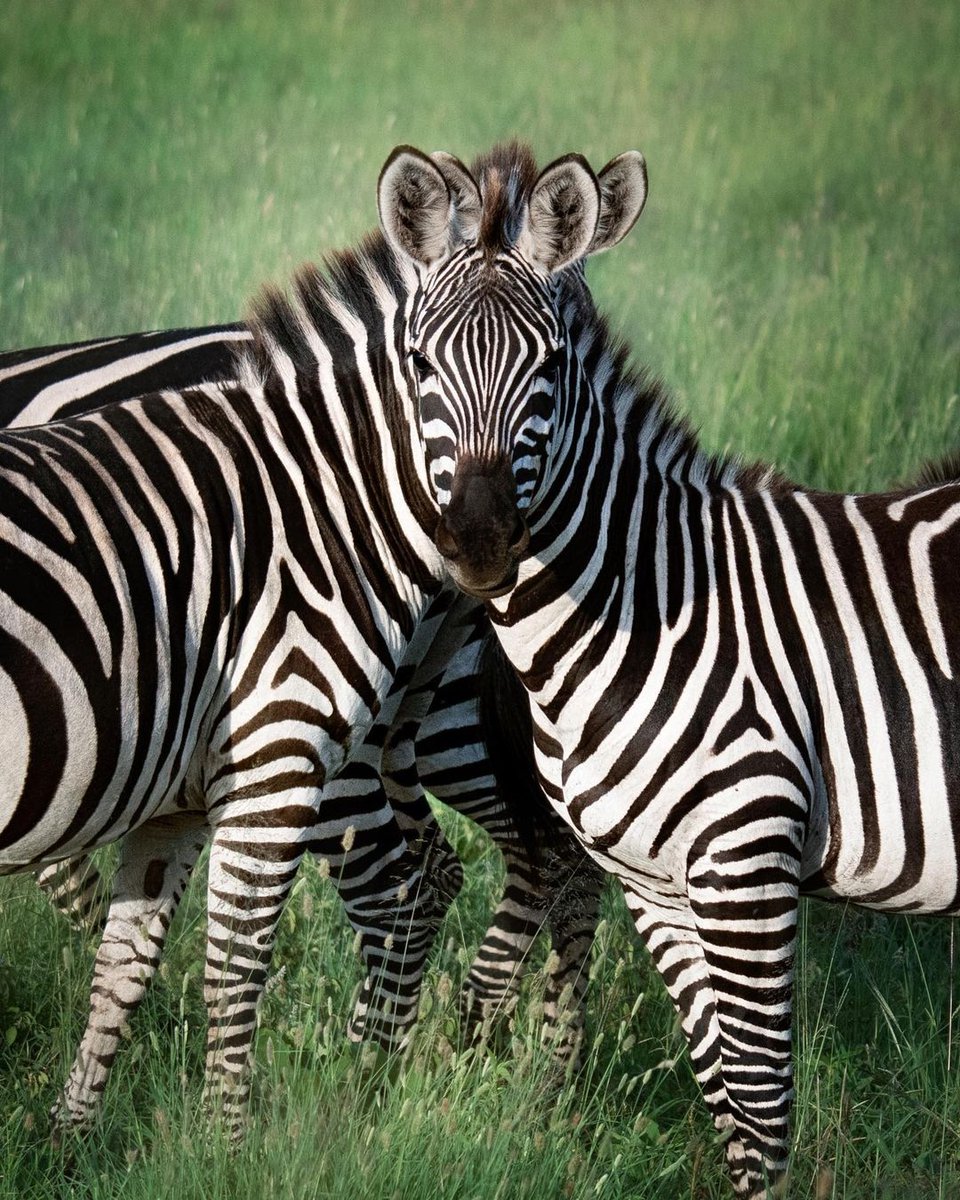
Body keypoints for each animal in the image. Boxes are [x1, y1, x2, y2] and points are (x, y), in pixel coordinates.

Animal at [0, 142, 644, 1139]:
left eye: (554, 364)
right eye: (420, 362)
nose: (484, 542)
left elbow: (208, 961)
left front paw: (218, 1143)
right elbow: (141, 953)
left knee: (454, 873)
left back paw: (456, 1067)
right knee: (498, 866)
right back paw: (507, 1070)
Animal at [379, 144, 960, 1198]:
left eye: (550, 369)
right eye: (420, 364)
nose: (478, 542)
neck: (648, 603)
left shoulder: (747, 861)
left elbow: (762, 1112)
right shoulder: (657, 884)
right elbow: (725, 1098)